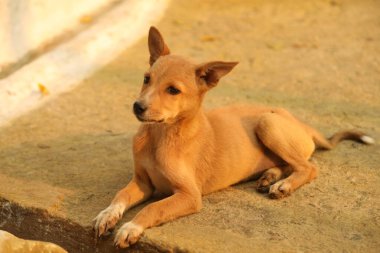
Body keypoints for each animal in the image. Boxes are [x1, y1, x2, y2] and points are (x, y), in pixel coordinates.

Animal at [93, 26, 374, 247]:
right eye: (146, 79)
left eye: (173, 90)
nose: (138, 107)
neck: (160, 136)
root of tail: (302, 123)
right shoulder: (143, 182)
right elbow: (120, 195)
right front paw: (107, 215)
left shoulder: (189, 195)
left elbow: (153, 207)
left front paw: (130, 227)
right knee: (291, 163)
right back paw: (270, 176)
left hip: (267, 123)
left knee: (309, 167)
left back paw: (283, 185)